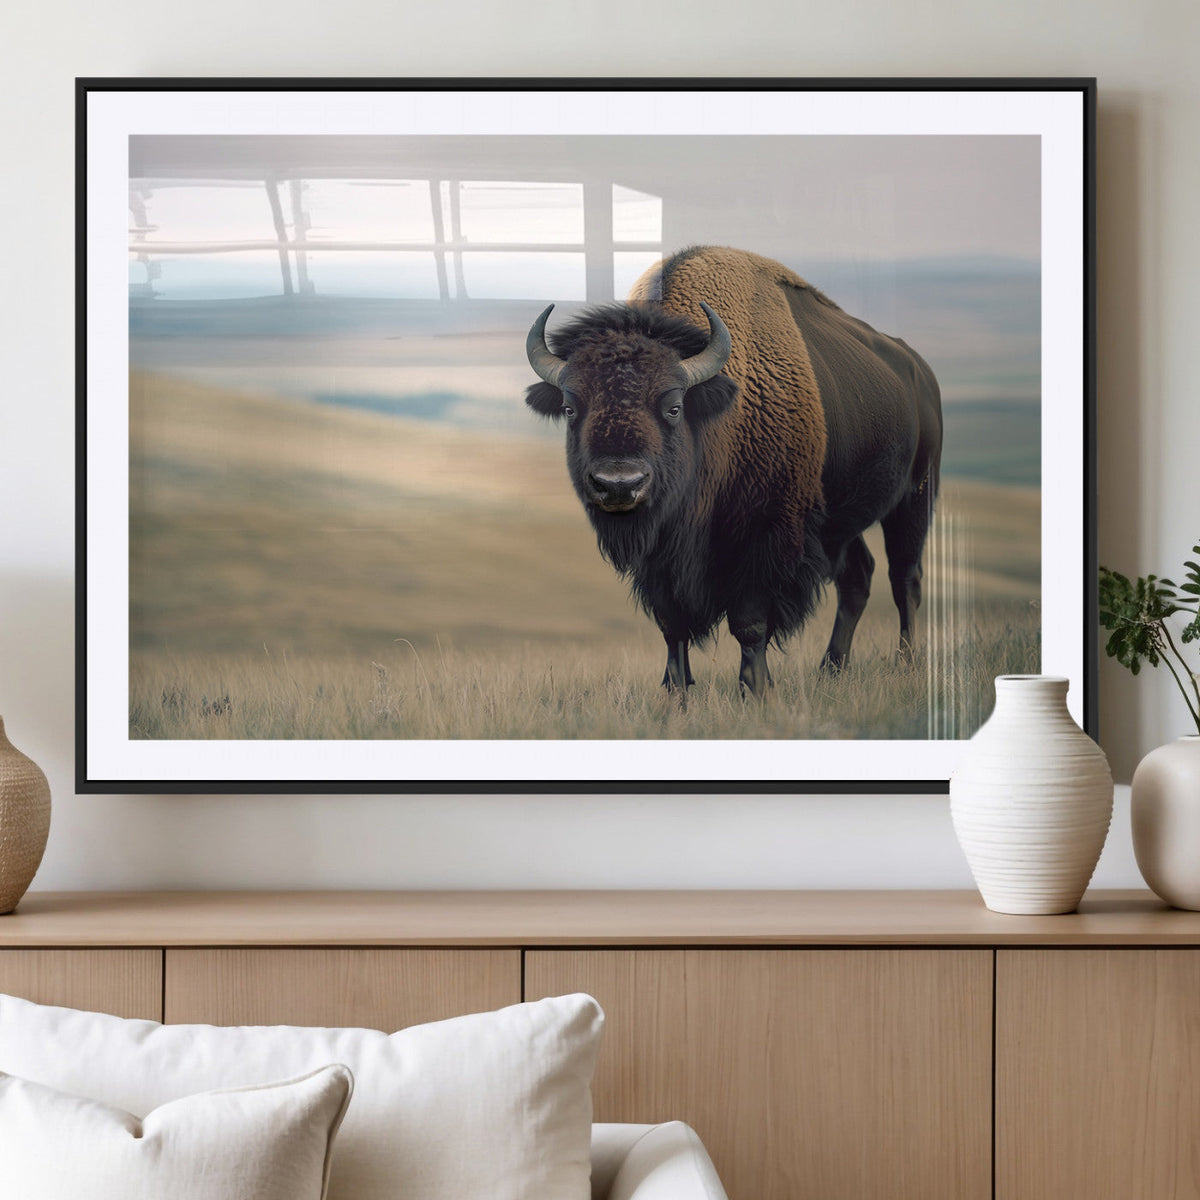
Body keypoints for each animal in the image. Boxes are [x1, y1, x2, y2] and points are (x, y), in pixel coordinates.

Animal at [524, 246, 942, 699]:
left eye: (673, 406)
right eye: (570, 408)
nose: (620, 485)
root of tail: (921, 371)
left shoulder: (765, 536)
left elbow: (750, 623)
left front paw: (754, 689)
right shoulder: (661, 559)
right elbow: (672, 625)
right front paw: (676, 691)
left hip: (914, 499)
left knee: (905, 579)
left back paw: (905, 662)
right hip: (840, 523)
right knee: (858, 578)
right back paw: (831, 668)